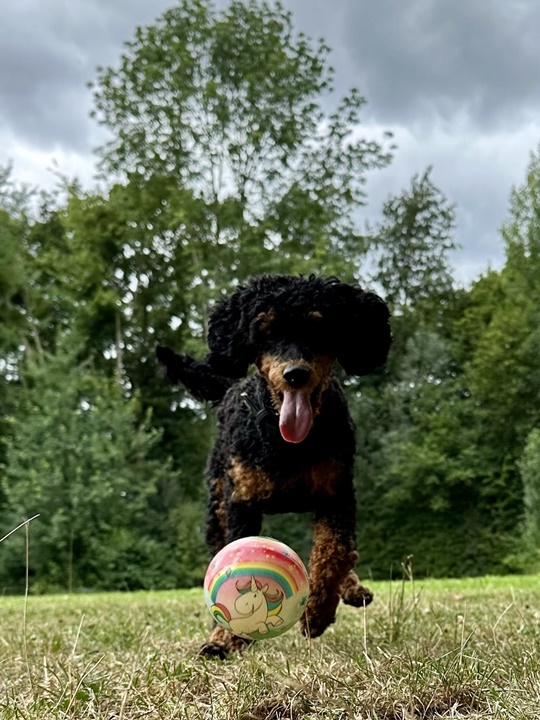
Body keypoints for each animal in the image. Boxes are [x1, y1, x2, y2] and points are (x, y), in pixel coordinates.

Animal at [157, 274, 391, 657]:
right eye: (265, 333)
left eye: (319, 329)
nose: (295, 374)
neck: (287, 444)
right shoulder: (241, 503)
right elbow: (231, 560)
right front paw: (225, 639)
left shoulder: (337, 495)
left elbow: (335, 552)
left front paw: (318, 612)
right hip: (217, 504)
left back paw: (351, 588)